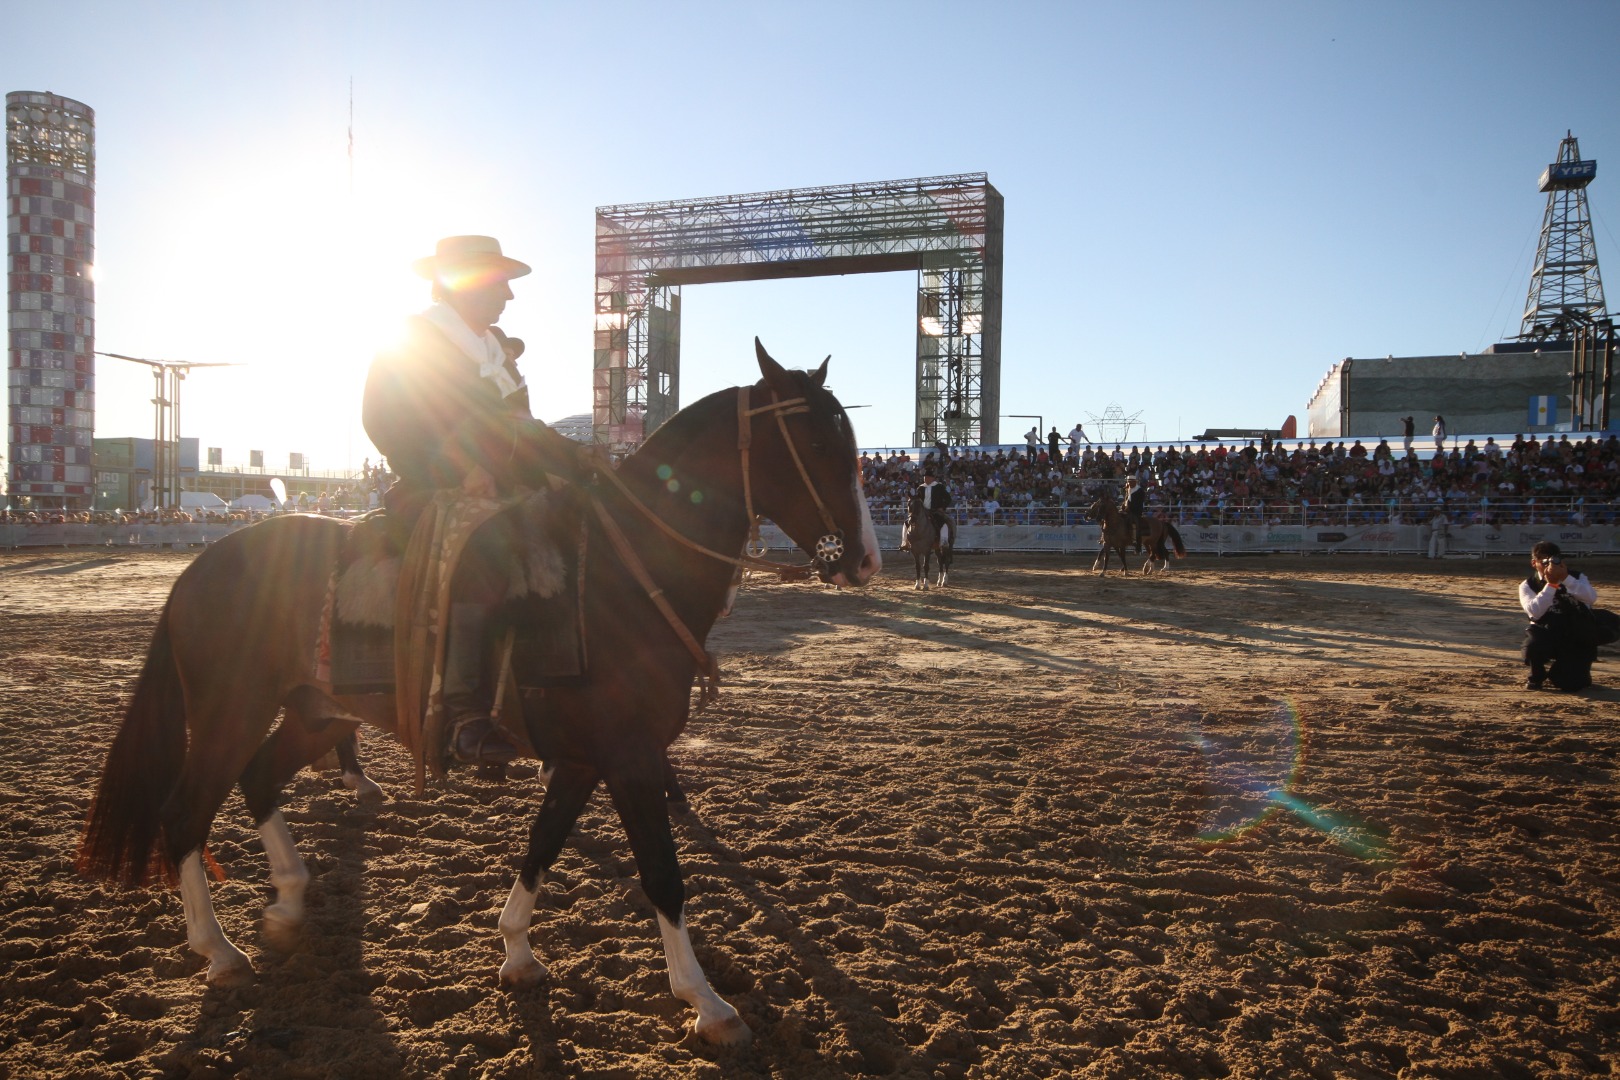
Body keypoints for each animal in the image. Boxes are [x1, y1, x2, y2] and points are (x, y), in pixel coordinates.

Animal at [80, 340, 881, 1049]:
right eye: (815, 442)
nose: (865, 558)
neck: (622, 579)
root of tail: (201, 567)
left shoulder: (585, 761)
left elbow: (542, 846)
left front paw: (517, 951)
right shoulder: (631, 759)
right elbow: (662, 875)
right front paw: (707, 1003)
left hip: (313, 715)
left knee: (257, 781)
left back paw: (289, 898)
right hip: (229, 713)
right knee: (183, 814)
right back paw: (217, 950)